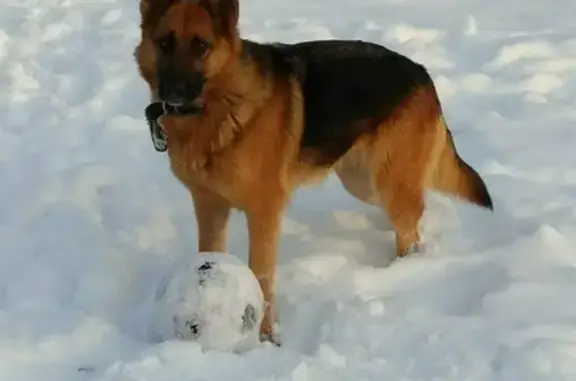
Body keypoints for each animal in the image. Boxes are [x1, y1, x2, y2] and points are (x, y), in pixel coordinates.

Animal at [133, 0, 492, 344]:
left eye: (200, 46)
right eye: (164, 43)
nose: (172, 92)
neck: (220, 103)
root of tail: (423, 73)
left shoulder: (264, 213)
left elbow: (261, 275)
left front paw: (266, 337)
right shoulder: (209, 207)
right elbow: (211, 252)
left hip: (387, 183)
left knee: (409, 227)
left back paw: (400, 272)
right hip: (363, 182)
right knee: (411, 212)